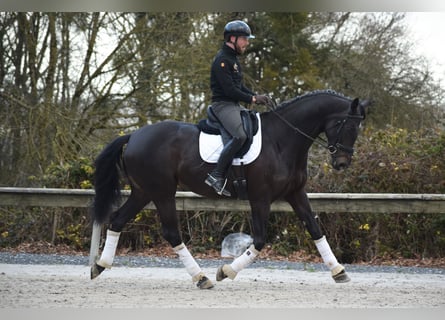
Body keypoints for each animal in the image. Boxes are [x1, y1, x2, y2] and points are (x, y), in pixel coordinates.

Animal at [89, 89, 368, 288]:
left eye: (358, 128)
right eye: (346, 125)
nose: (342, 163)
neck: (282, 140)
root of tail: (134, 135)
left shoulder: (295, 193)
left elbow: (315, 229)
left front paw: (339, 270)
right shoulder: (260, 198)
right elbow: (259, 241)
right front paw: (226, 271)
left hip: (143, 191)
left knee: (117, 220)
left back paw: (100, 265)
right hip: (162, 192)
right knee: (171, 233)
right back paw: (201, 278)